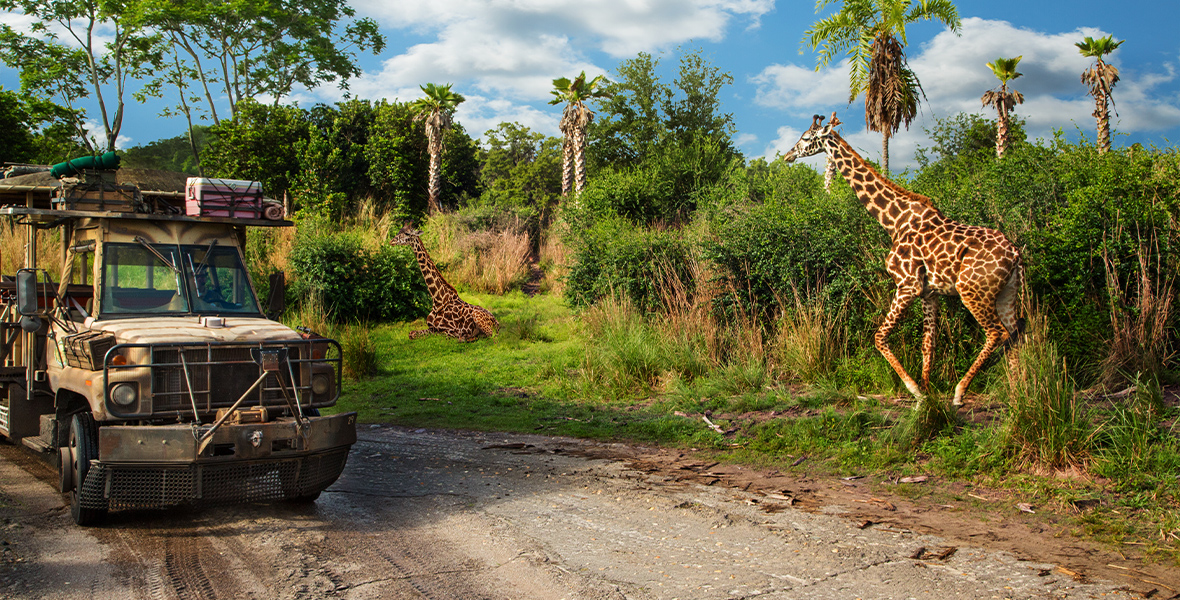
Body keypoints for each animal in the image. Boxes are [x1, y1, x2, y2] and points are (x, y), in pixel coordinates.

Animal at [783, 112, 1024, 406]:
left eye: (806, 138)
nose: (788, 155)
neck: (893, 221)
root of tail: (1015, 254)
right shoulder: (930, 292)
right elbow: (928, 344)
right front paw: (928, 396)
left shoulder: (907, 284)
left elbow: (879, 336)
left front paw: (916, 390)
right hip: (1007, 293)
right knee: (1014, 334)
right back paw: (1018, 394)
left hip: (973, 291)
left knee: (997, 333)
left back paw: (961, 391)